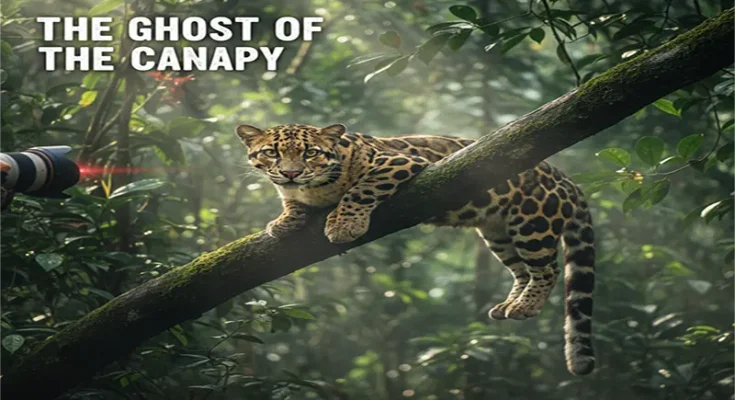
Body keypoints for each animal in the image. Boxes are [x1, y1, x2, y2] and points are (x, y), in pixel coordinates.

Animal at [236, 123, 596, 376]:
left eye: (310, 152)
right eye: (271, 153)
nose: (291, 172)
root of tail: (567, 180)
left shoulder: (399, 162)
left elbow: (360, 190)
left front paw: (343, 224)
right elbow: (291, 203)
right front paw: (283, 221)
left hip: (533, 224)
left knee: (546, 269)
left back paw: (526, 306)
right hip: (499, 234)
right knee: (521, 270)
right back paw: (509, 304)